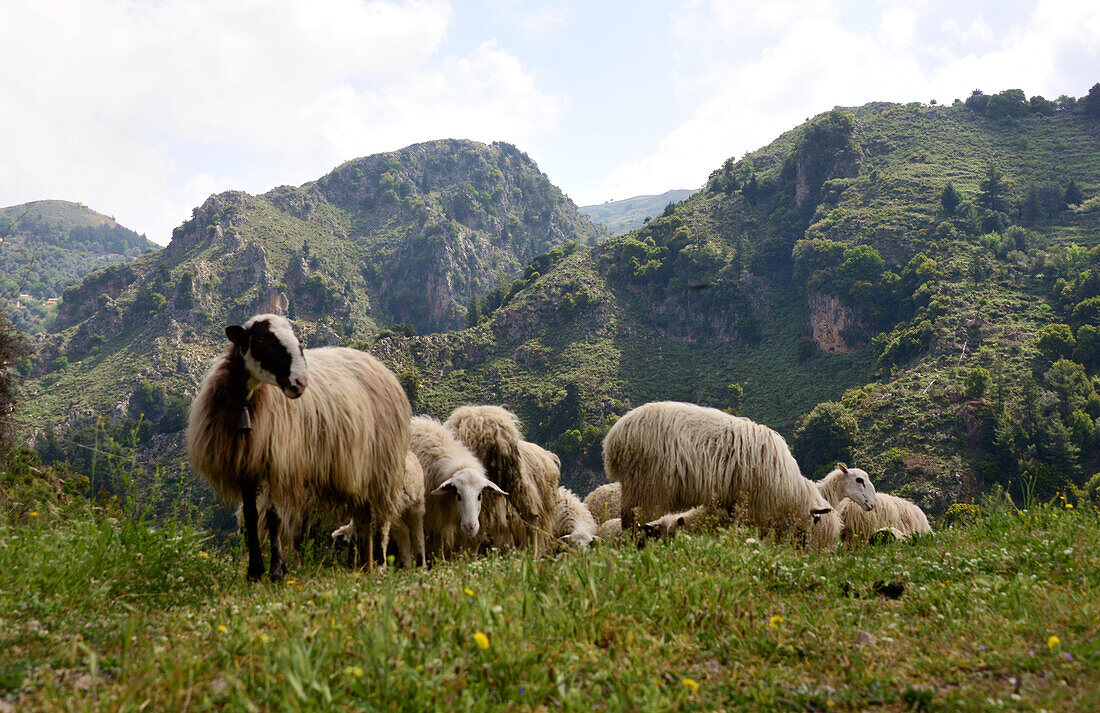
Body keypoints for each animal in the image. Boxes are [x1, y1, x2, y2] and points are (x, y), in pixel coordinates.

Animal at [187, 312, 411, 580]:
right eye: (261, 338)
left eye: (300, 340)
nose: (301, 382)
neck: (246, 403)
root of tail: (377, 364)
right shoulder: (246, 464)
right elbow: (252, 517)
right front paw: (254, 572)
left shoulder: (280, 462)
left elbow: (274, 517)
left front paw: (277, 571)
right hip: (358, 470)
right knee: (364, 517)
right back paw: (363, 568)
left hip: (383, 466)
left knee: (382, 522)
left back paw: (378, 566)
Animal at [602, 404, 840, 547]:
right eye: (816, 519)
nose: (802, 545)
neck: (788, 490)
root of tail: (615, 436)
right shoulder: (753, 504)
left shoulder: (733, 501)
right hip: (647, 487)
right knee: (636, 522)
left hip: (634, 487)